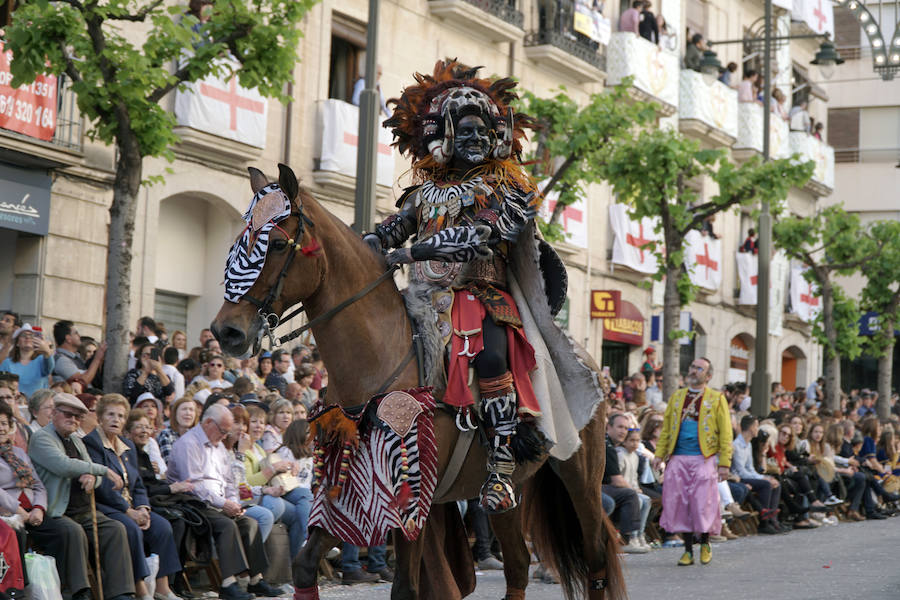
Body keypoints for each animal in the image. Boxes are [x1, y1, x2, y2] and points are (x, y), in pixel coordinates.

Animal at [212, 164, 624, 600]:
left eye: (275, 243)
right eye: (239, 240)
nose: (226, 331)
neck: (381, 357)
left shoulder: (412, 497)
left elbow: (406, 588)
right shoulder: (350, 491)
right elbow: (305, 566)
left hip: (581, 475)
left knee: (595, 557)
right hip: (513, 490)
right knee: (517, 564)